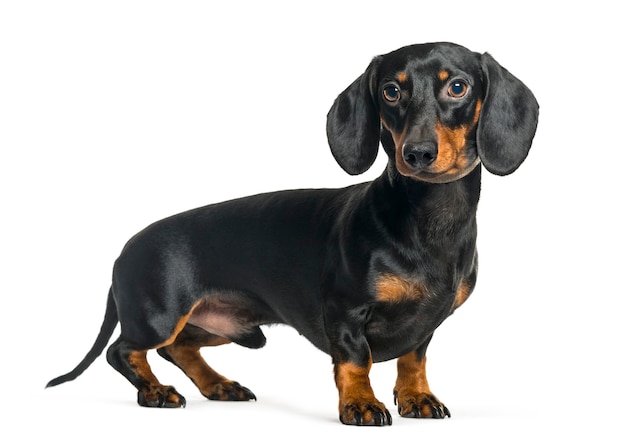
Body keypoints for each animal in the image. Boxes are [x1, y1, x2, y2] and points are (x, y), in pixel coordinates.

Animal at [47, 42, 536, 426]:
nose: (416, 153)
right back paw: (155, 392)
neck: (430, 220)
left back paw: (219, 385)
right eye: (391, 91)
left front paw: (417, 397)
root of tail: (122, 252)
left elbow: (414, 359)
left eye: (458, 87)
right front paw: (360, 404)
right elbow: (355, 361)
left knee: (179, 349)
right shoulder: (344, 309)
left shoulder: (427, 323)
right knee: (124, 351)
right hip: (159, 317)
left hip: (223, 324)